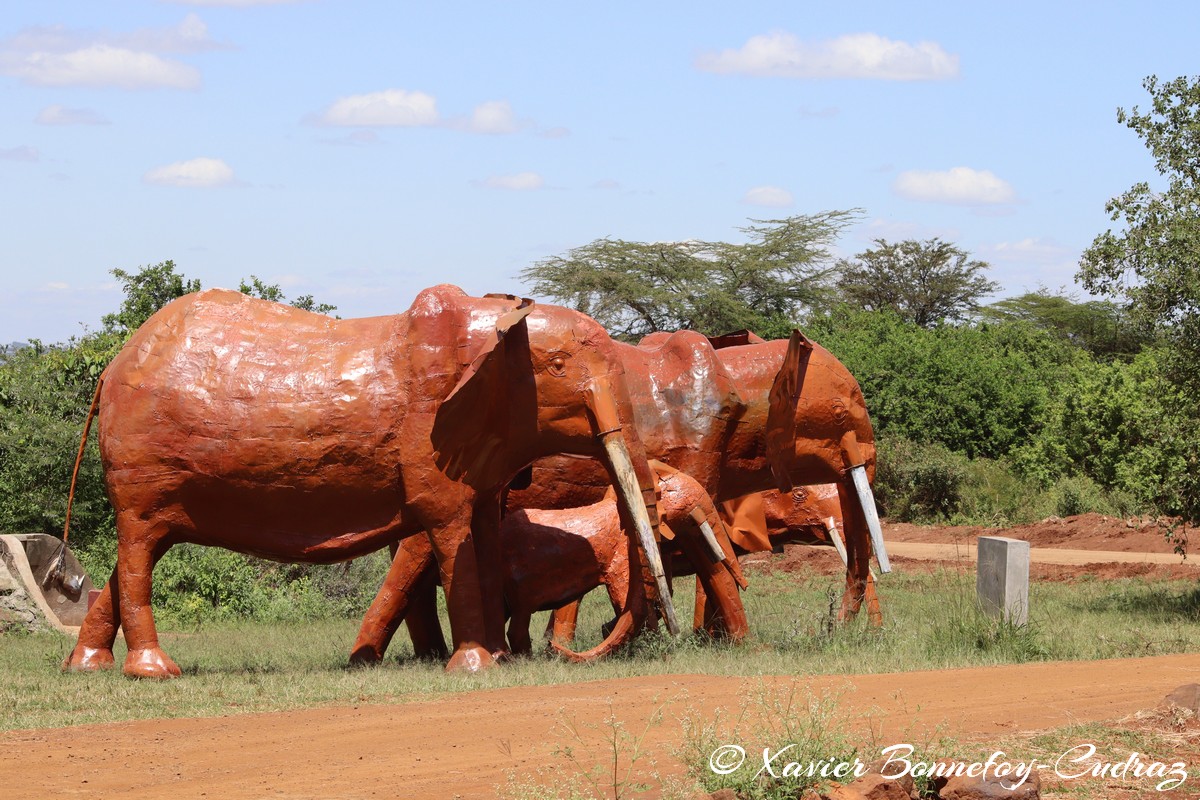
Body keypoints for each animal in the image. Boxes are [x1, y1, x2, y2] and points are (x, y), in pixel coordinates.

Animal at [61, 285, 677, 678]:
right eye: (561, 369)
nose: (669, 640)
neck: (493, 324)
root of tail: (110, 369)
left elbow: (481, 532)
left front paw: (500, 661)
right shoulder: (428, 440)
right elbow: (450, 533)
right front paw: (475, 668)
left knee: (135, 553)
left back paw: (87, 668)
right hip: (138, 460)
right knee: (138, 550)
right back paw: (152, 672)